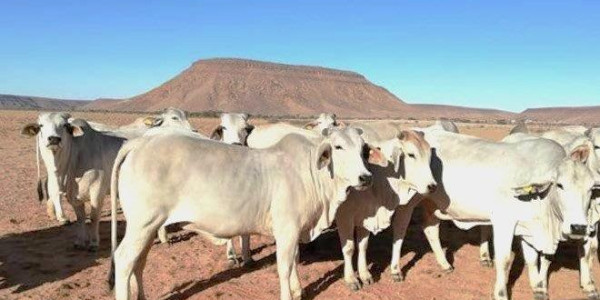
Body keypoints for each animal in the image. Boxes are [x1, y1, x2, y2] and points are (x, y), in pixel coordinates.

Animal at [22, 113, 126, 250]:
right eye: (41, 125)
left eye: (65, 125)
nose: (54, 139)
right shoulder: (73, 196)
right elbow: (80, 218)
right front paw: (80, 241)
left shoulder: (98, 190)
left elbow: (93, 217)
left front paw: (94, 242)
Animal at [109, 126, 384, 300]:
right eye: (338, 147)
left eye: (363, 149)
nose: (365, 177)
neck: (310, 172)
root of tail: (140, 143)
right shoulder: (286, 230)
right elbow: (285, 267)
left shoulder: (294, 231)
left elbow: (295, 260)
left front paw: (298, 291)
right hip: (142, 224)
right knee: (124, 260)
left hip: (149, 227)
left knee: (139, 262)